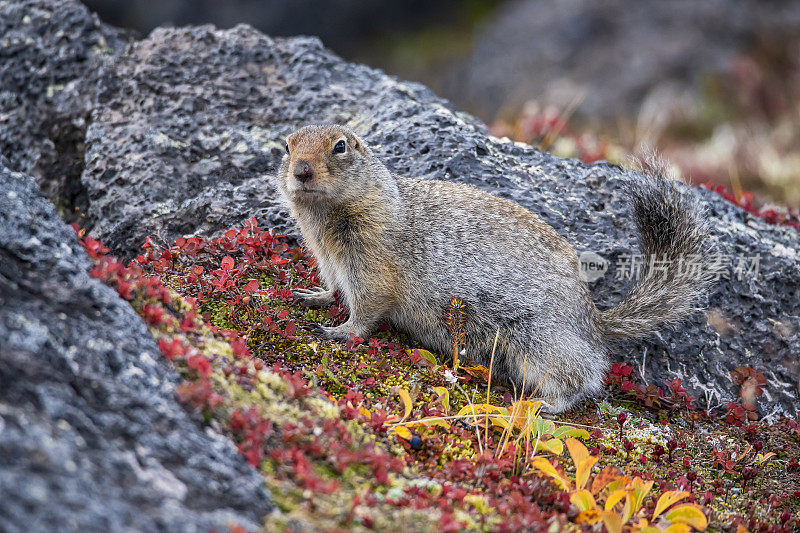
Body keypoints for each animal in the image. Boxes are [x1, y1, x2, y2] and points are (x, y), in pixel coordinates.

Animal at [278, 124, 708, 412]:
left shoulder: (371, 260)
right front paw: (312, 296)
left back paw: (546, 403)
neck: (326, 217)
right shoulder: (330, 258)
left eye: (340, 147)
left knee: (581, 378)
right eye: (287, 145)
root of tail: (595, 321)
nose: (301, 170)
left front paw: (339, 331)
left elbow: (367, 306)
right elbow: (335, 287)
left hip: (538, 342)